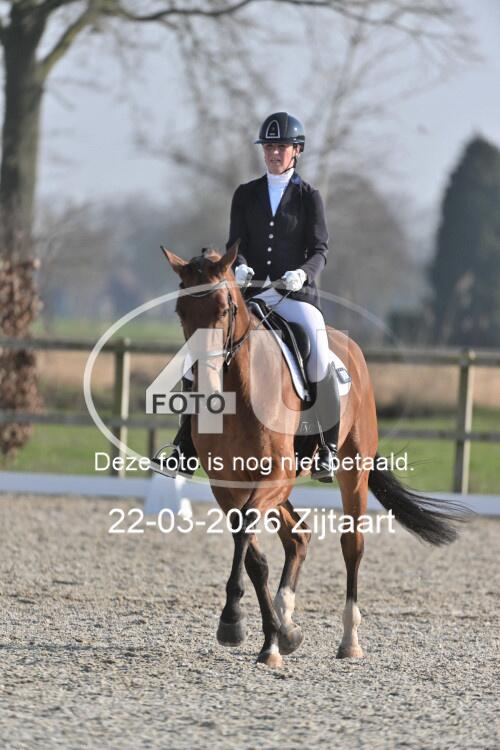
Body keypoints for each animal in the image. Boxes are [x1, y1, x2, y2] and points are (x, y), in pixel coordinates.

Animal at [162, 242, 466, 668]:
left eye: (224, 308)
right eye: (181, 311)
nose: (203, 382)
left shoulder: (275, 476)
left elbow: (249, 539)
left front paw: (235, 622)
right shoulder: (229, 485)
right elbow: (252, 554)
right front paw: (270, 637)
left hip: (351, 471)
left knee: (351, 545)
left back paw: (349, 640)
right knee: (298, 536)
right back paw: (286, 624)